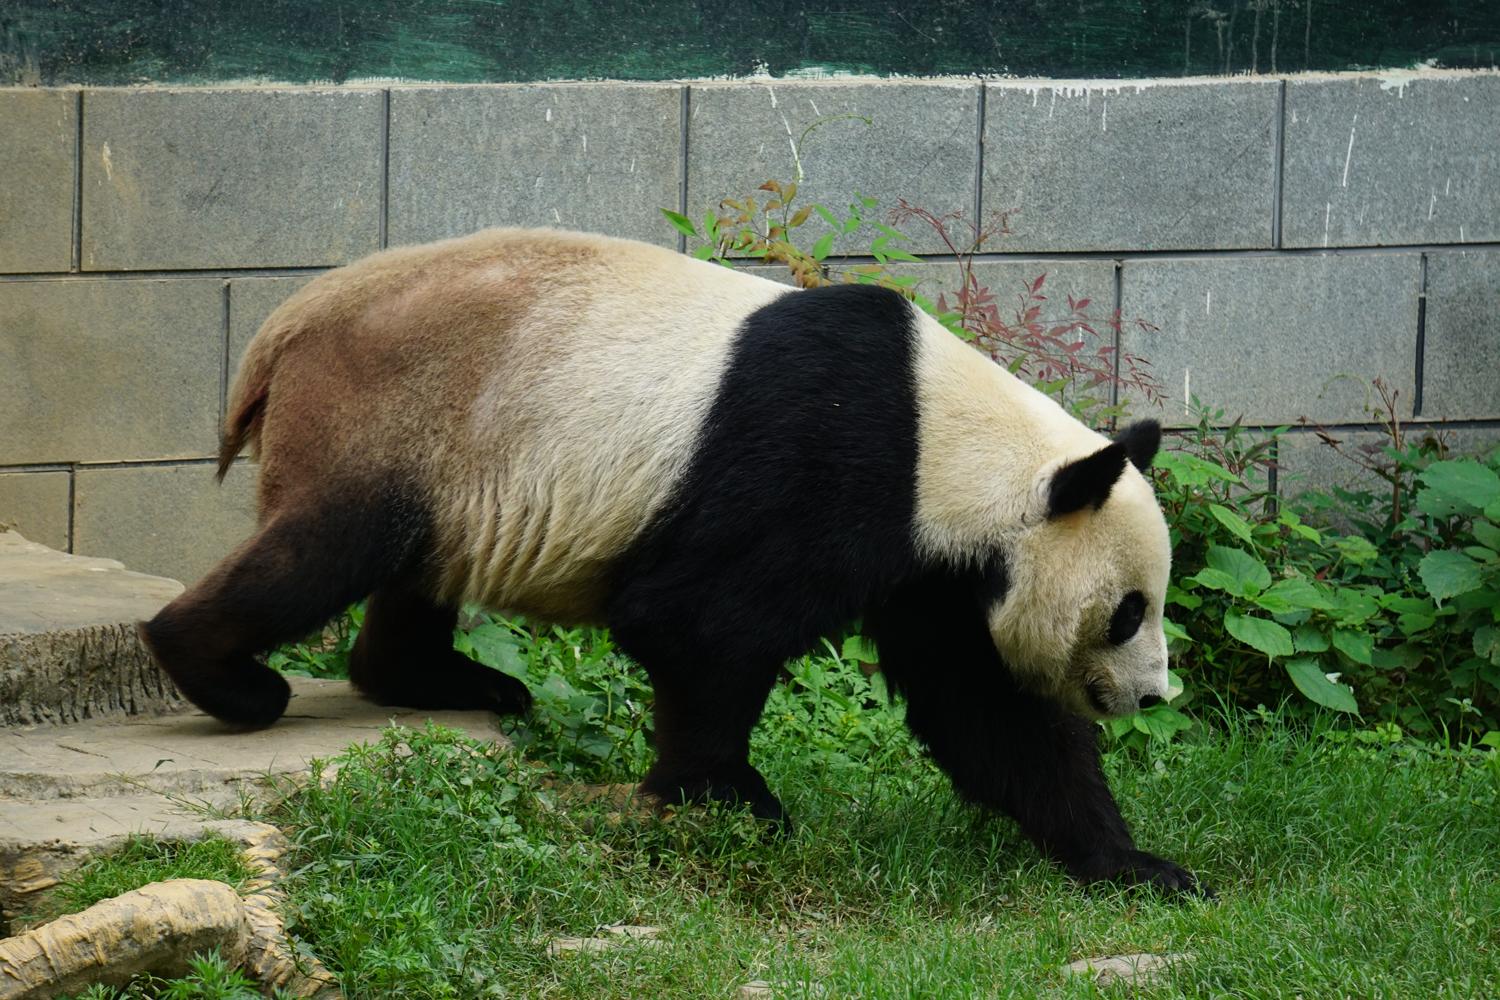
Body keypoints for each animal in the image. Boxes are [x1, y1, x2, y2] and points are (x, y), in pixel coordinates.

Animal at [141, 227, 1202, 895]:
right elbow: (697, 621)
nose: (1152, 695)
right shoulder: (825, 461)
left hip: (443, 452)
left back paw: (450, 683)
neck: (952, 440)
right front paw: (730, 798)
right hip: (391, 406)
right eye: (1127, 610)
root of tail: (281, 331)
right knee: (325, 551)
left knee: (411, 571)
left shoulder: (933, 566)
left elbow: (986, 707)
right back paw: (225, 676)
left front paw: (1139, 868)